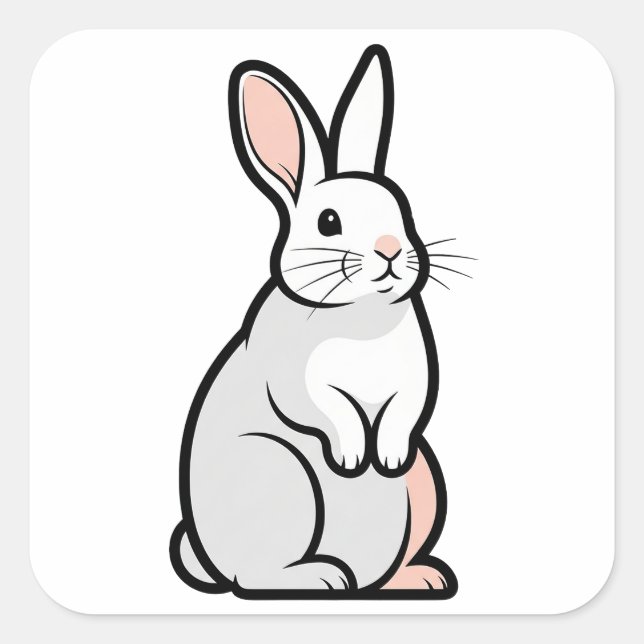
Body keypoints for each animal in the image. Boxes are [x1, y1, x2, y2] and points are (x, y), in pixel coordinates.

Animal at [170, 44, 460, 598]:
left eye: (401, 207)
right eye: (329, 222)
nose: (390, 251)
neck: (359, 312)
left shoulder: (413, 377)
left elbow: (404, 413)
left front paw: (387, 458)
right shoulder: (292, 378)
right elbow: (326, 409)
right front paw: (351, 458)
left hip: (424, 487)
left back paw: (421, 578)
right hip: (278, 474)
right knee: (256, 575)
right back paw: (323, 577)